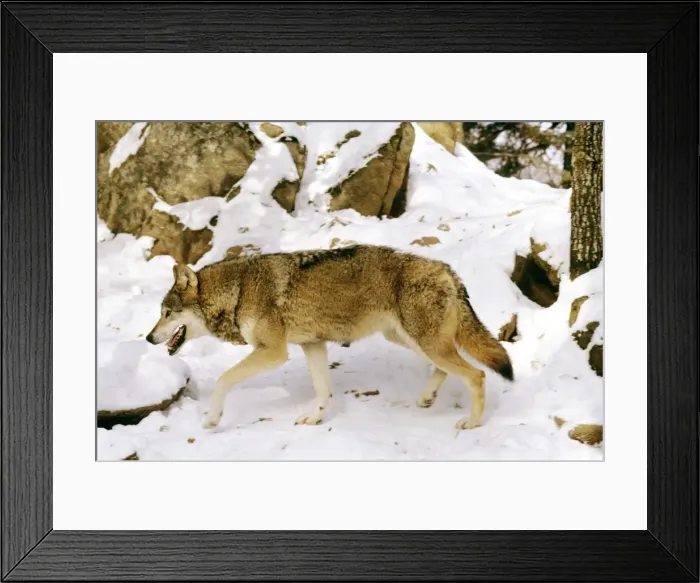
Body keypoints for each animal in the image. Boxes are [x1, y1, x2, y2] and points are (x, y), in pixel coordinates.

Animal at [146, 244, 514, 430]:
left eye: (167, 313)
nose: (149, 338)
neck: (237, 292)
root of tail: (448, 270)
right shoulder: (313, 344)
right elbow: (323, 389)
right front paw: (315, 418)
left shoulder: (273, 351)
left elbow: (224, 380)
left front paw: (211, 419)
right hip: (410, 340)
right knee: (448, 369)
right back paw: (426, 397)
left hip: (425, 342)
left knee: (477, 375)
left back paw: (472, 422)